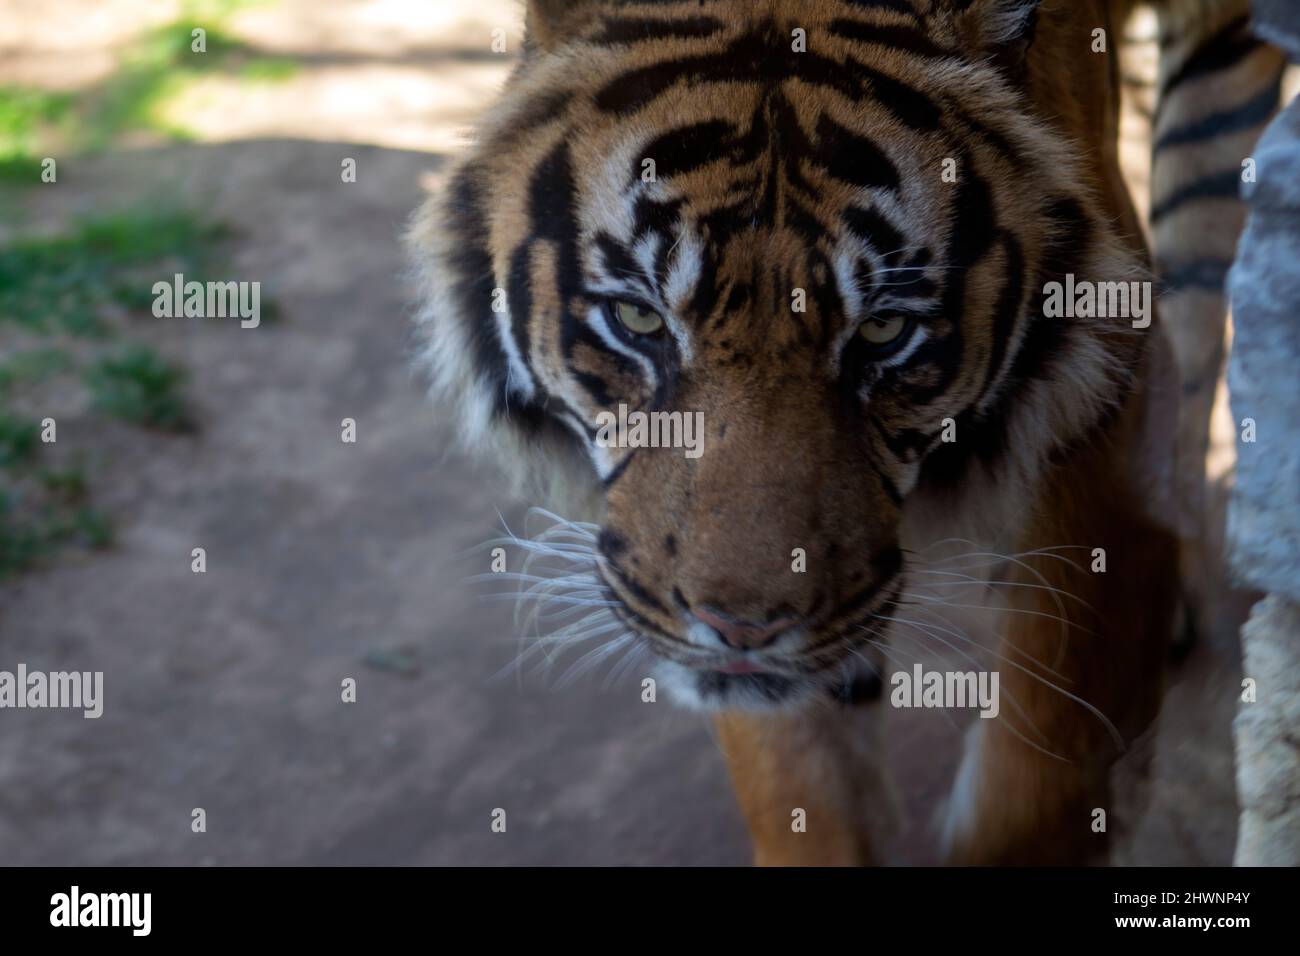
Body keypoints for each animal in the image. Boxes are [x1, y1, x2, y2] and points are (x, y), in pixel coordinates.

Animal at [408, 0, 1289, 868]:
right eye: (638, 319)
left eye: (885, 330)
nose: (745, 629)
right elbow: (805, 787)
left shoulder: (1104, 443)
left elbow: (1042, 783)